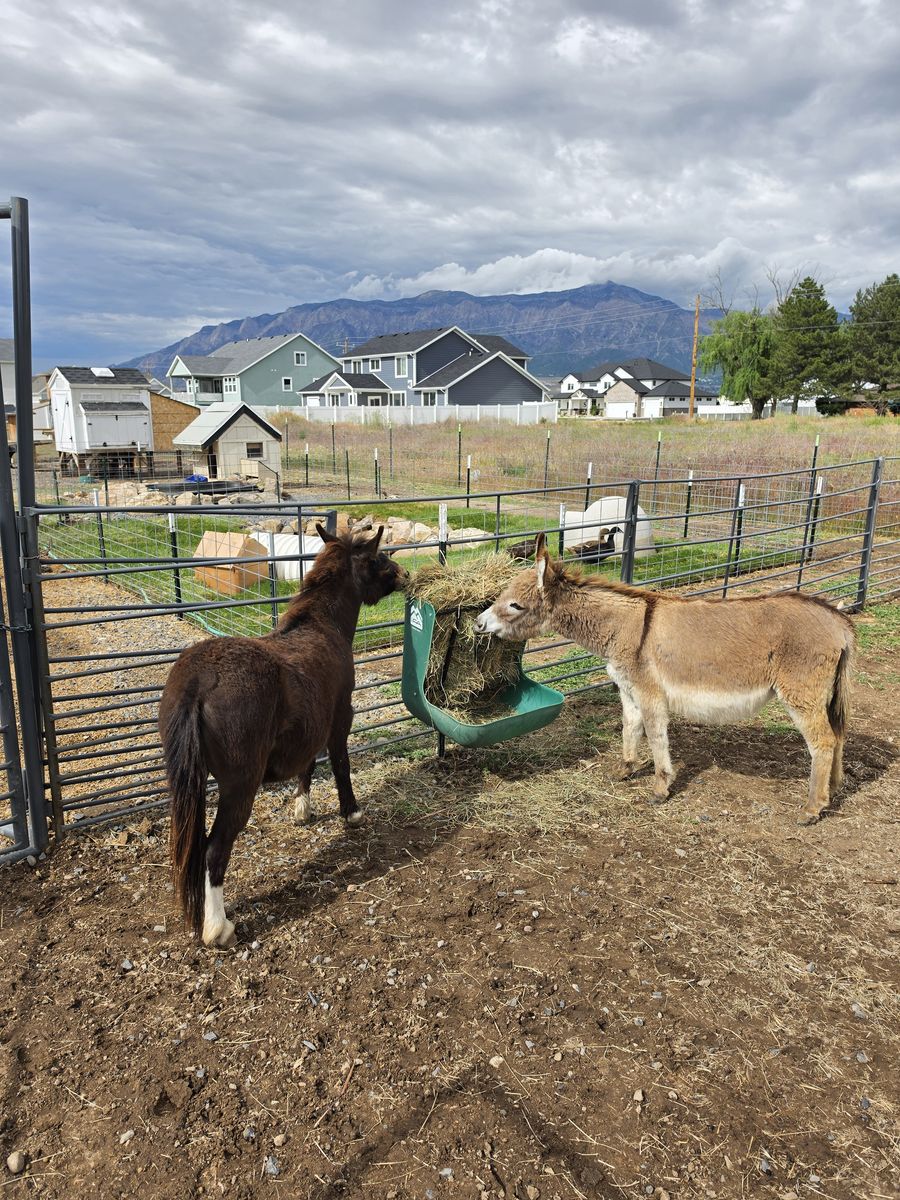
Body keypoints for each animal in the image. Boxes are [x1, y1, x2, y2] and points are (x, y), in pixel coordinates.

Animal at [159, 525, 406, 946]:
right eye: (377, 557)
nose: (404, 575)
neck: (319, 624)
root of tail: (197, 682)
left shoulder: (310, 726)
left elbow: (307, 765)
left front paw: (302, 809)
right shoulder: (340, 716)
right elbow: (340, 763)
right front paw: (352, 813)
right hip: (239, 787)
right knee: (214, 850)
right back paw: (218, 928)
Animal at [475, 534, 854, 825]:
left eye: (516, 605)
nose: (478, 625)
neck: (626, 628)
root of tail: (839, 621)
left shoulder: (650, 692)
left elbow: (656, 737)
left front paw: (660, 788)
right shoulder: (627, 690)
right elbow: (629, 728)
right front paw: (625, 769)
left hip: (800, 692)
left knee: (822, 741)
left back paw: (812, 808)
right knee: (838, 735)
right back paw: (833, 790)